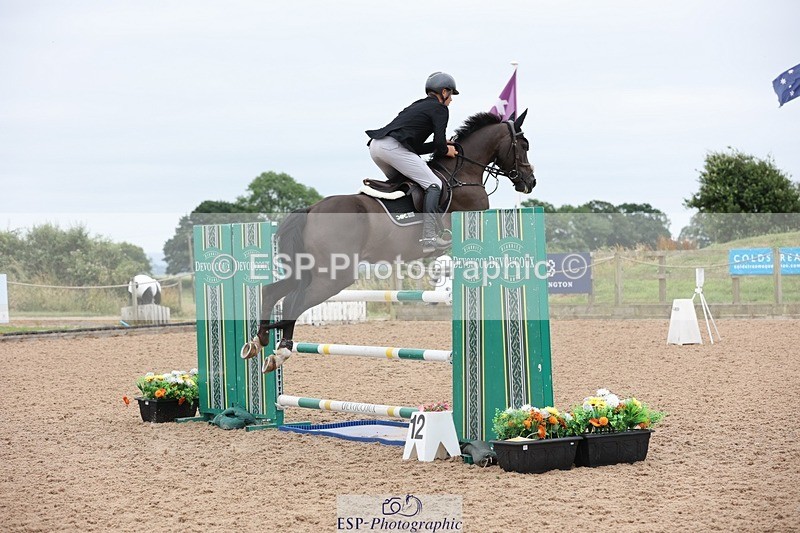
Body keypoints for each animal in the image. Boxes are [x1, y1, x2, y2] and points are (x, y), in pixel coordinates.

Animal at [241, 110, 537, 373]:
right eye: (523, 145)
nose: (530, 181)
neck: (462, 177)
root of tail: (311, 209)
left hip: (308, 270)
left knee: (273, 292)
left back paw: (260, 341)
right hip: (334, 276)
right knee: (294, 301)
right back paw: (281, 352)